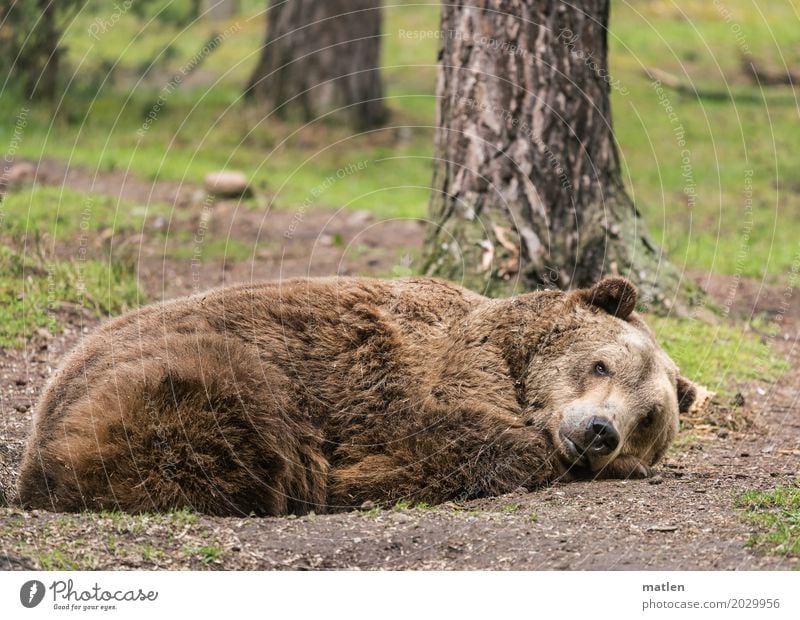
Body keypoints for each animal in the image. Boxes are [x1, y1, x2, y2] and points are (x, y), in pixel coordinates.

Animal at [17, 274, 692, 512]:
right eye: (601, 364)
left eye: (648, 418)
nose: (601, 431)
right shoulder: (416, 374)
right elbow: (450, 437)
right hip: (200, 369)